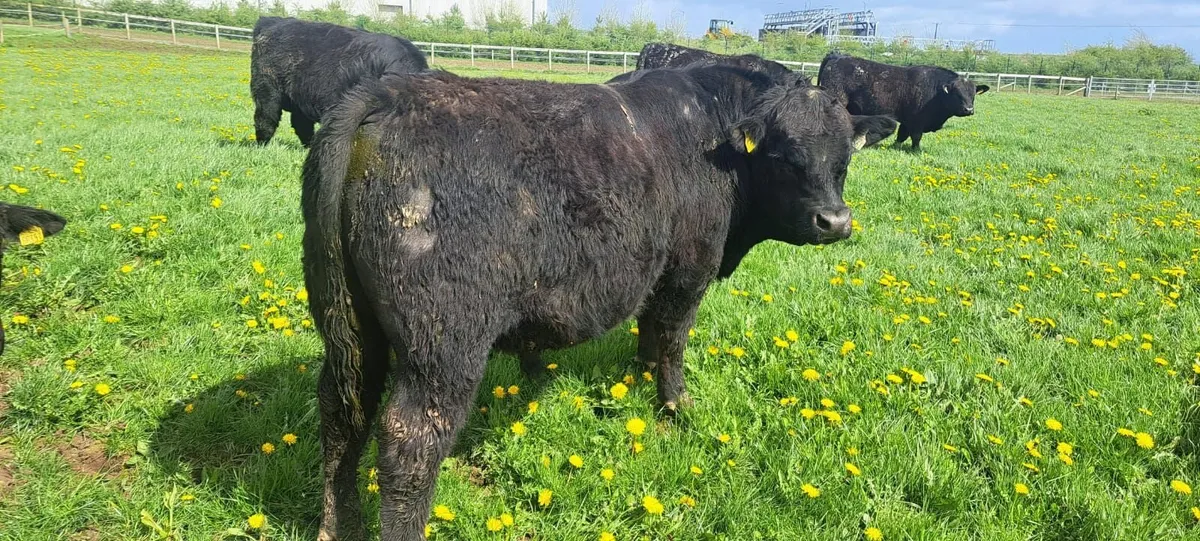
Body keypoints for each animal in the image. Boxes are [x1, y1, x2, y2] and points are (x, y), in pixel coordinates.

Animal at [300, 65, 895, 539]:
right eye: (782, 153)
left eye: (844, 157)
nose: (835, 221)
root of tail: (385, 93)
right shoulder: (690, 270)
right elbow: (673, 338)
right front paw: (676, 406)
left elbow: (651, 332)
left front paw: (641, 378)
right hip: (443, 345)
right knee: (410, 438)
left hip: (349, 325)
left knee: (341, 411)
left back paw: (338, 524)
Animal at [818, 52, 989, 151]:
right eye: (957, 94)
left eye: (973, 94)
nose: (969, 110)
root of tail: (837, 56)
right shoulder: (916, 120)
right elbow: (916, 137)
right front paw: (916, 150)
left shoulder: (907, 120)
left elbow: (902, 135)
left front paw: (895, 146)